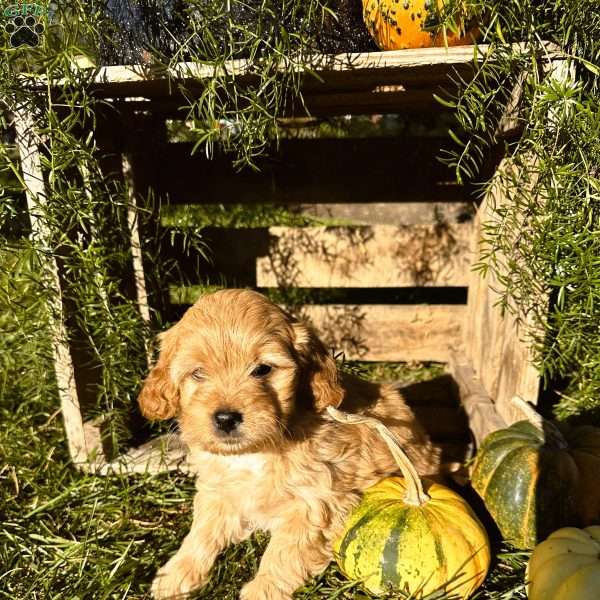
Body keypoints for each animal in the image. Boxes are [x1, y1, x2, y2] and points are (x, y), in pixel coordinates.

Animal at [141, 288, 440, 596]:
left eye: (262, 369)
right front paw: (175, 575)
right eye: (198, 373)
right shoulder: (217, 489)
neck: (254, 453)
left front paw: (262, 590)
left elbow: (284, 553)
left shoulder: (315, 503)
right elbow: (201, 532)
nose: (225, 418)